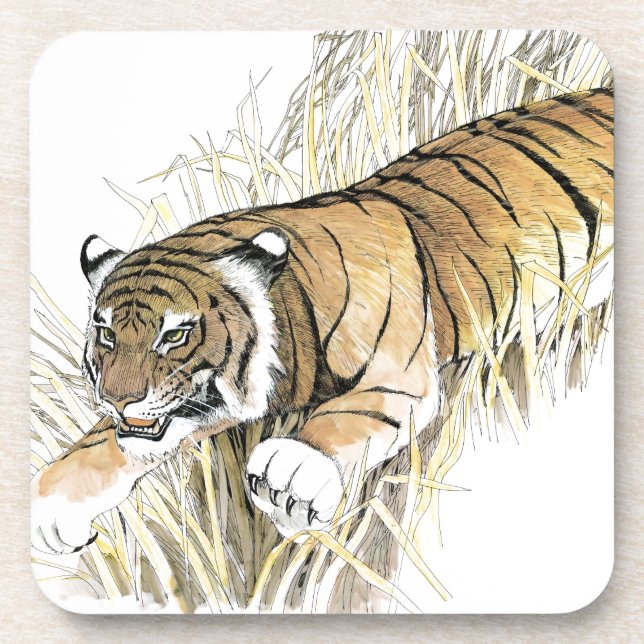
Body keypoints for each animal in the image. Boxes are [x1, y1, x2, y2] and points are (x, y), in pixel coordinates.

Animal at [32, 88, 614, 553]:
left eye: (174, 335)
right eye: (106, 333)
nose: (118, 398)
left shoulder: (398, 373)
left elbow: (351, 414)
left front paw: (291, 472)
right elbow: (105, 440)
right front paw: (54, 502)